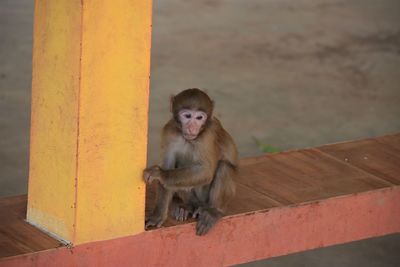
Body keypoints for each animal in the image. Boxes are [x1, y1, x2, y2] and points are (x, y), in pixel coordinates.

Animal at [144, 88, 238, 237]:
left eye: (199, 118)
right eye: (187, 116)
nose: (192, 127)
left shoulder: (208, 135)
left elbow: (206, 171)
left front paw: (160, 174)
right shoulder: (169, 131)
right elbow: (168, 165)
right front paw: (157, 216)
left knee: (224, 167)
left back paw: (213, 211)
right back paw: (188, 206)